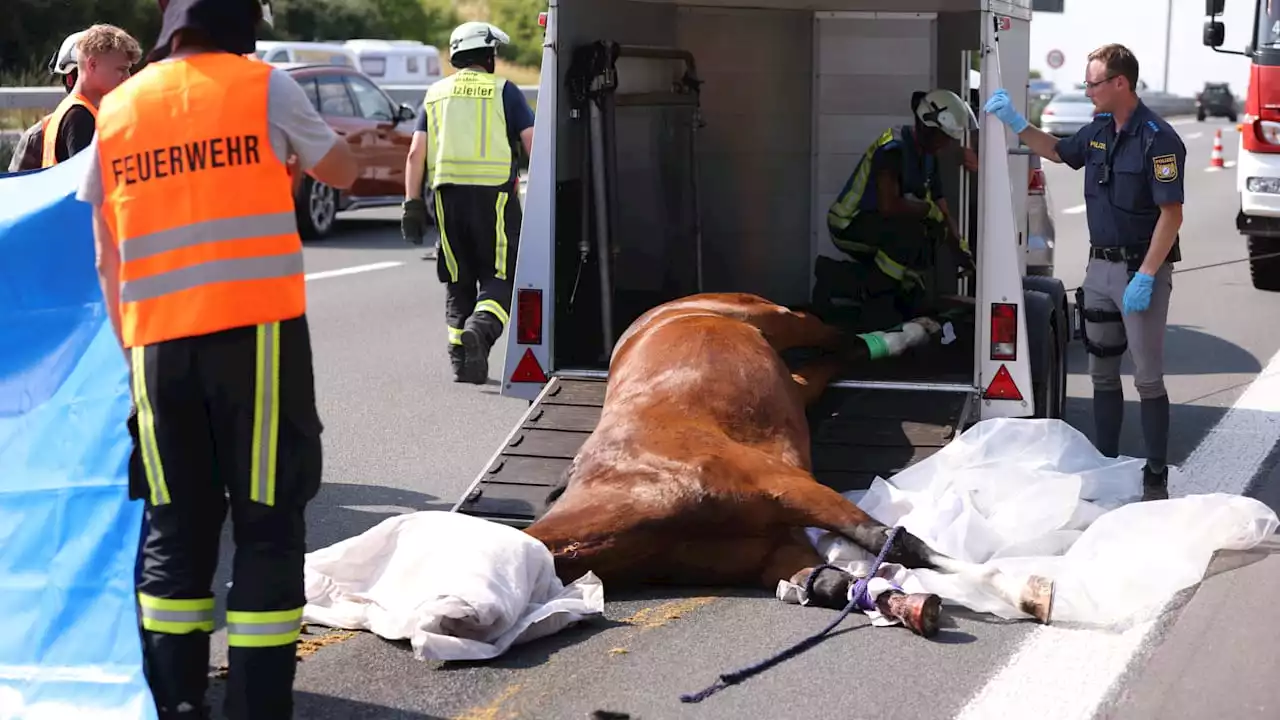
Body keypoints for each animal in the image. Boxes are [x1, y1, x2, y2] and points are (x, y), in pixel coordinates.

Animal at [519, 292, 1049, 632]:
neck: (637, 485)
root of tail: (660, 310)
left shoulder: (789, 487)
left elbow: (893, 541)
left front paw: (1018, 590)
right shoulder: (775, 552)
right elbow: (838, 585)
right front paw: (908, 607)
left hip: (772, 317)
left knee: (836, 336)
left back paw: (915, 330)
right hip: (792, 379)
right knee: (829, 362)